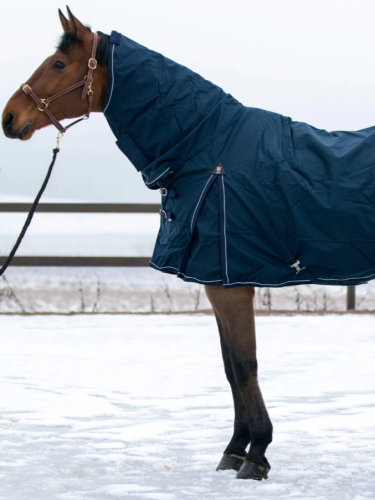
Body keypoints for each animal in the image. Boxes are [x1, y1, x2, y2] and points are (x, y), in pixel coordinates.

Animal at [2, 5, 375, 480]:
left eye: (58, 64)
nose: (9, 118)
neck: (207, 147)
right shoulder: (215, 285)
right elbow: (230, 368)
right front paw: (235, 450)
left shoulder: (231, 285)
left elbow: (244, 364)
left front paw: (256, 456)